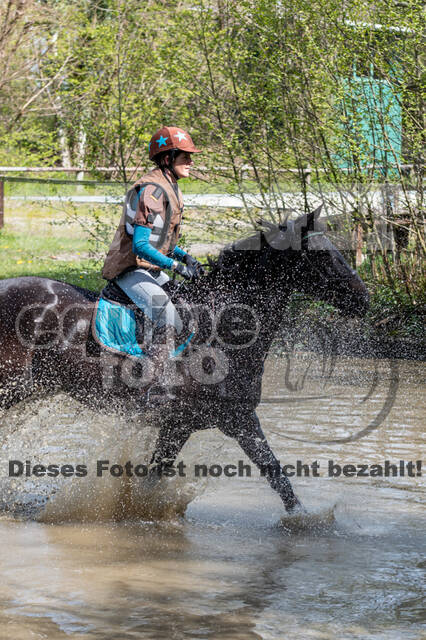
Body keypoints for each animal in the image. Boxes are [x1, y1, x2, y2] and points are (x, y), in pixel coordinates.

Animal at [0, 210, 368, 516]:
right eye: (323, 255)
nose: (363, 299)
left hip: (34, 390)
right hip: (11, 387)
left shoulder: (222, 420)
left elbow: (275, 475)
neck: (222, 326)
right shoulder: (194, 420)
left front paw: (305, 520)